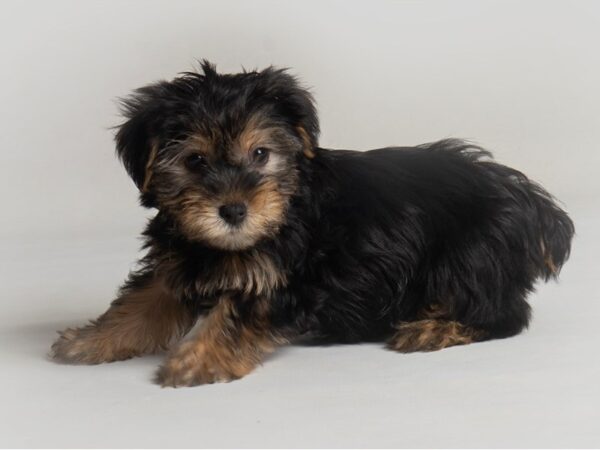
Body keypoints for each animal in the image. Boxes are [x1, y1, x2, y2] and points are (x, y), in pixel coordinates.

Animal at [49, 60, 576, 386]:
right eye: (195, 162)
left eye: (261, 154)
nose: (234, 210)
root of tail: (531, 202)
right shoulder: (179, 260)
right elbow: (141, 301)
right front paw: (90, 341)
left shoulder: (283, 279)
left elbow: (234, 317)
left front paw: (196, 361)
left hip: (470, 254)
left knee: (504, 313)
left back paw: (433, 328)